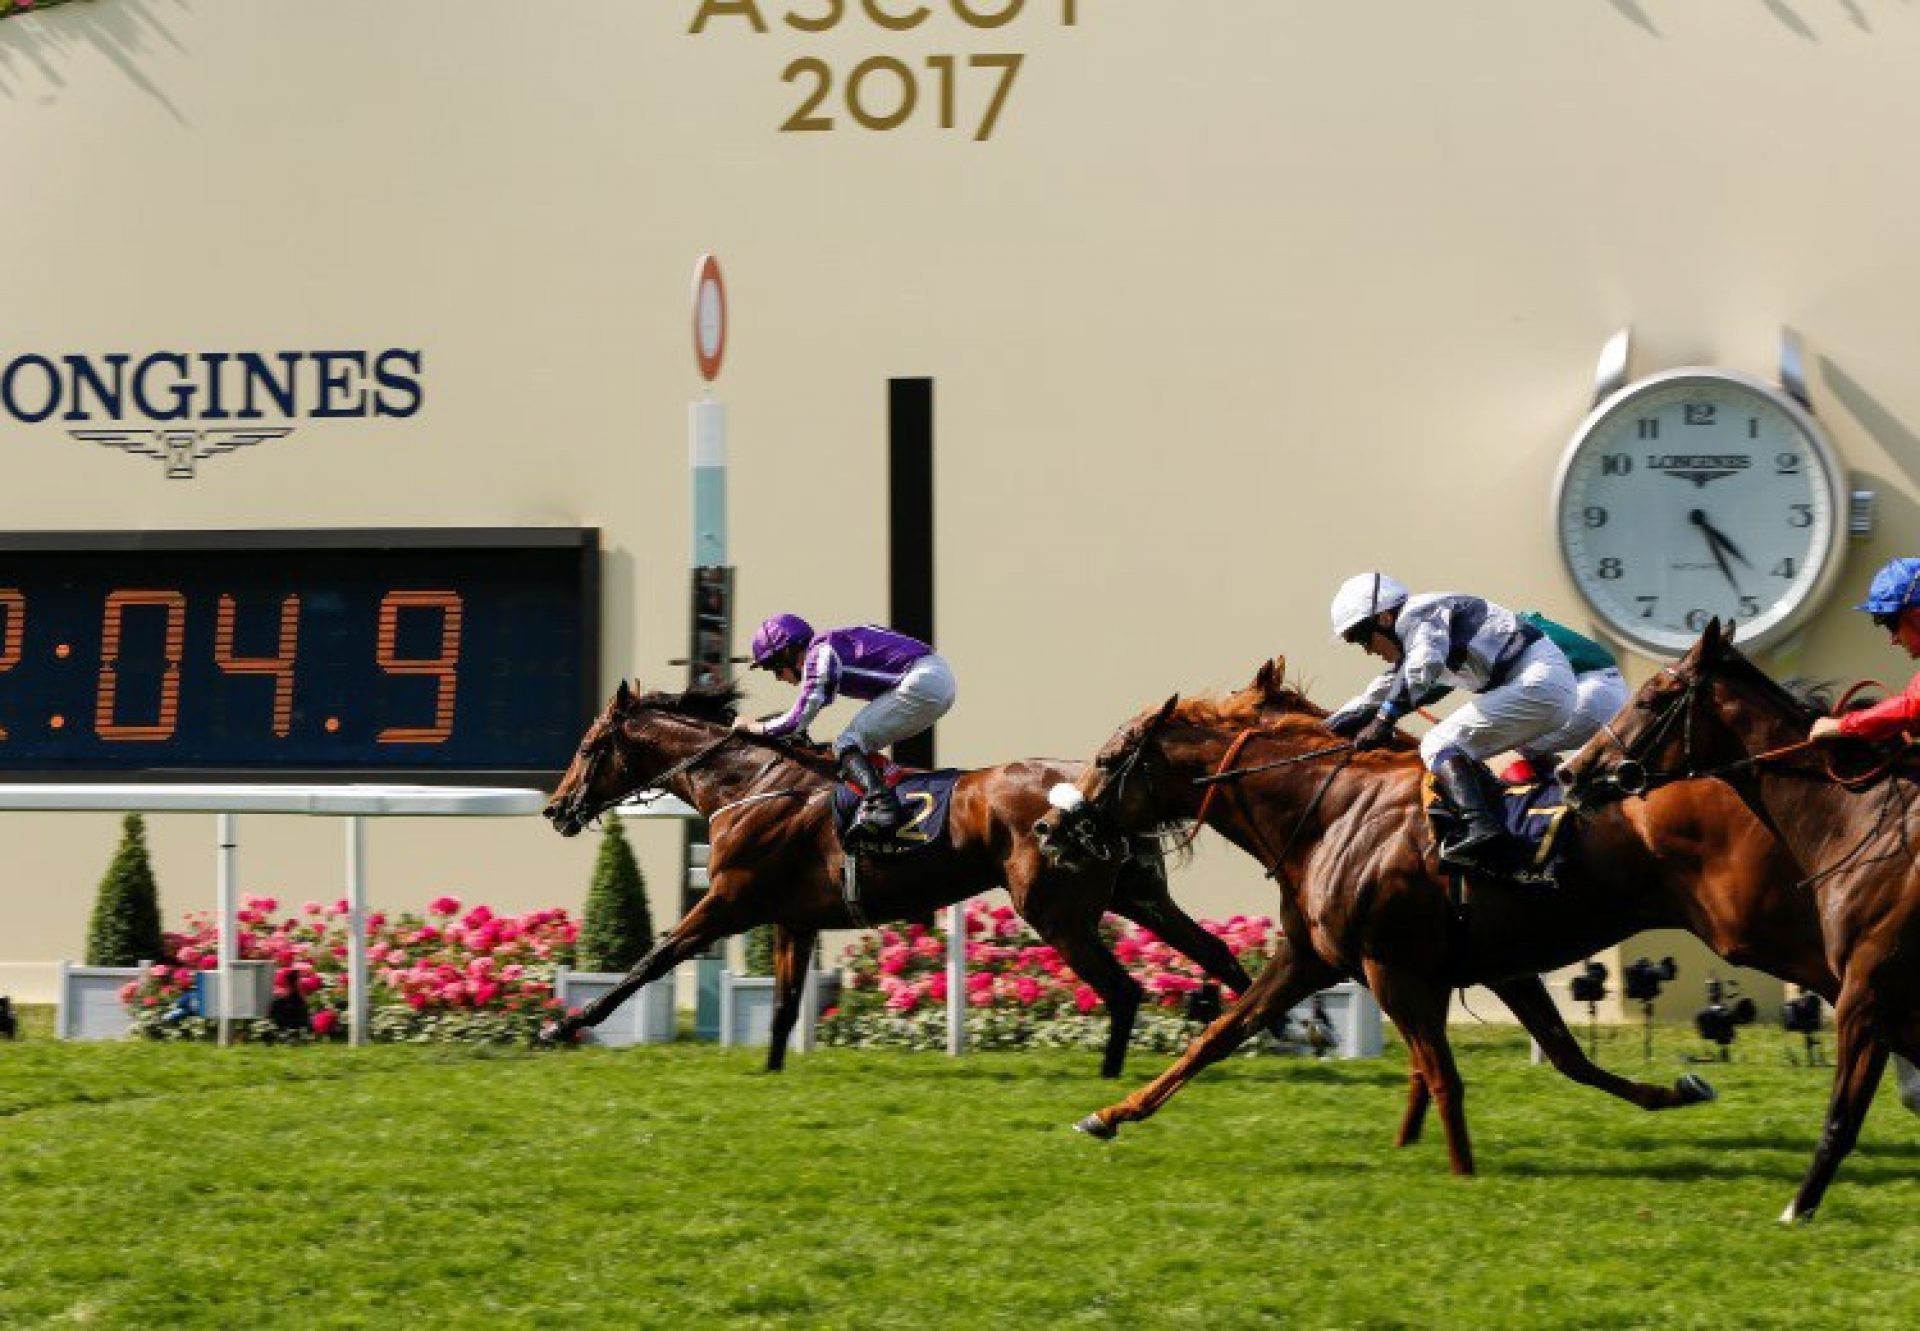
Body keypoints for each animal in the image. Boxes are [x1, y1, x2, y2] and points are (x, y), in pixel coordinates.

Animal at [541, 679, 1274, 1075]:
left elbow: (651, 959)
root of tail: (1099, 791)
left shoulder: (727, 901)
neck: (747, 783)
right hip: (1135, 894)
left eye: (589, 746)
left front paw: (566, 1026)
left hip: (1056, 911)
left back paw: (1112, 1077)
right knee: (1215, 951)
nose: (555, 808)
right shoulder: (793, 919)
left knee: (1122, 989)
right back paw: (1283, 1031)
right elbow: (781, 1008)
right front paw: (772, 1072)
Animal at [1044, 656, 1866, 1175]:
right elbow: (1218, 1035)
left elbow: (1442, 1074)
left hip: (1753, 926)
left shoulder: (1393, 968)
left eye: (1111, 759)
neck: (1332, 812)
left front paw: (1462, 1171)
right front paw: (1110, 1113)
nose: (1052, 828)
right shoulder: (1394, 962)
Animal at [1559, 618, 1920, 1221]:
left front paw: (1798, 1210)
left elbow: (1841, 1120)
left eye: (1653, 695)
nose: (1571, 771)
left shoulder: (1864, 994)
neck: (1861, 820)